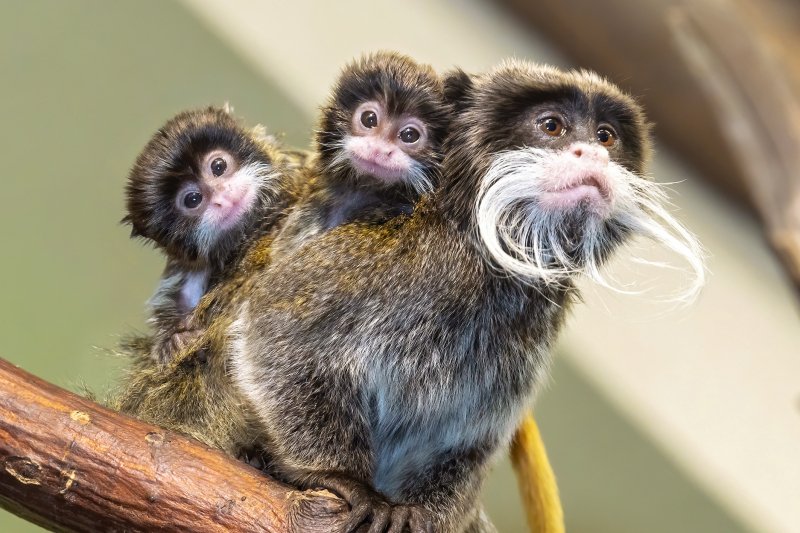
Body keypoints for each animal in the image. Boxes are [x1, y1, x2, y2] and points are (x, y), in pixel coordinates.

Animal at [223, 60, 700, 528]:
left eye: (605, 136)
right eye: (552, 126)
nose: (595, 154)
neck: (486, 256)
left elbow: (470, 436)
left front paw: (429, 513)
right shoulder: (384, 257)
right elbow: (276, 330)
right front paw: (339, 477)